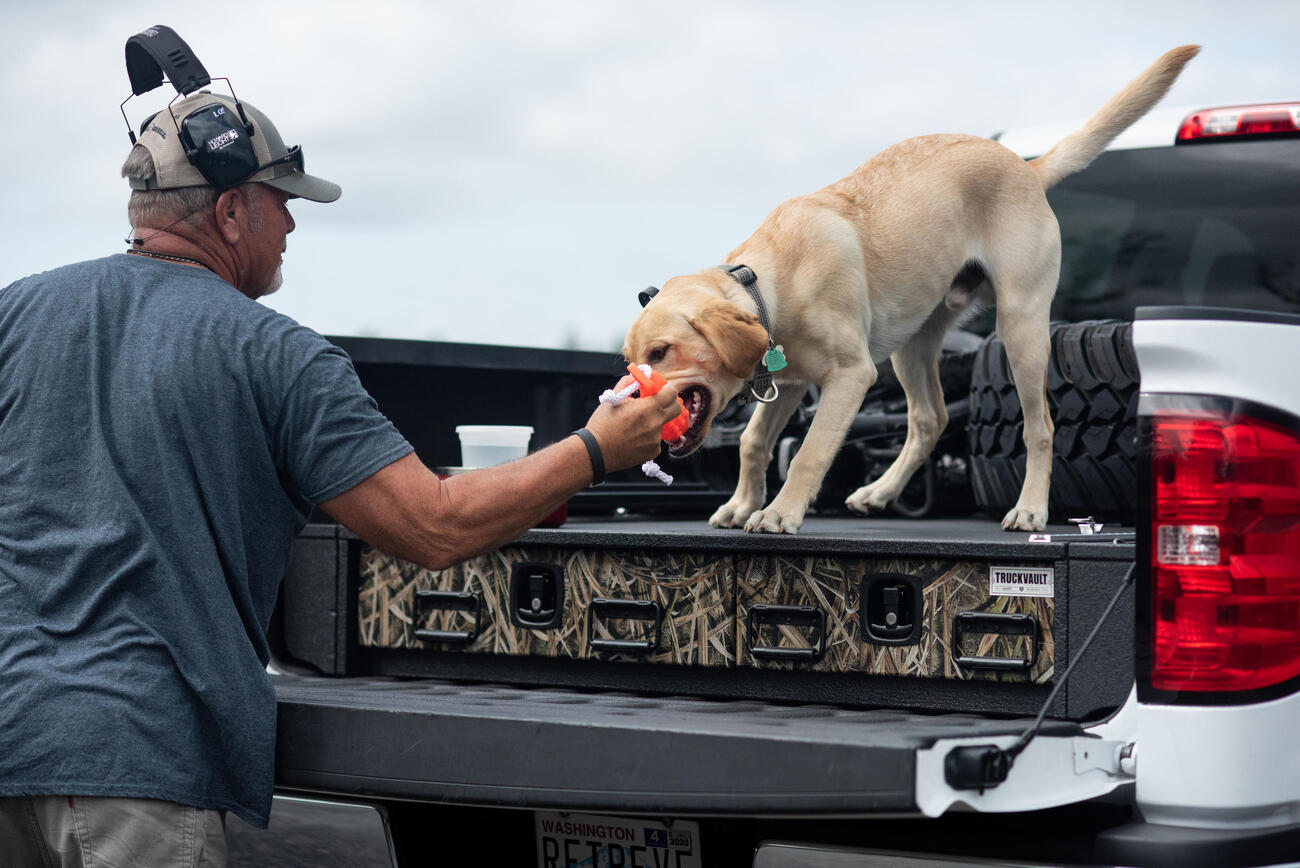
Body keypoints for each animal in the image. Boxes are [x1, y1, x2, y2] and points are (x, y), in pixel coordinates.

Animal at [624, 47, 1201, 535]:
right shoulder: (786, 383)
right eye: (629, 359)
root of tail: (1027, 168)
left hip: (1021, 327)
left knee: (1041, 426)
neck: (770, 283)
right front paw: (742, 504)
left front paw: (779, 514)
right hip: (913, 343)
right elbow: (752, 441)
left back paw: (1030, 510)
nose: (624, 401)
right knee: (931, 419)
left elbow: (809, 452)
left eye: (662, 351)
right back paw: (879, 493)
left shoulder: (851, 376)